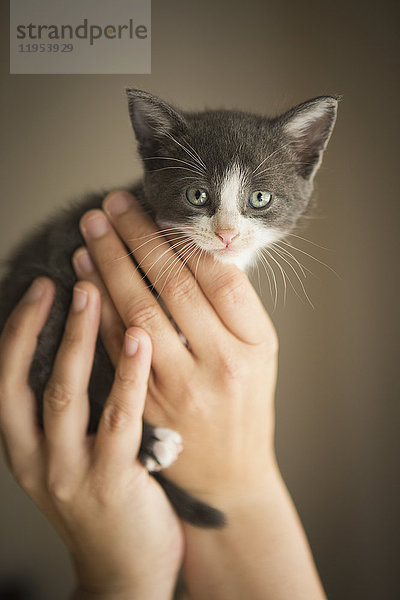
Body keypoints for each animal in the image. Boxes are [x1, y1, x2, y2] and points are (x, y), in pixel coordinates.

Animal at [0, 88, 338, 524]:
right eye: (198, 195)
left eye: (259, 198)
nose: (227, 234)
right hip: (54, 296)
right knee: (46, 379)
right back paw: (150, 442)